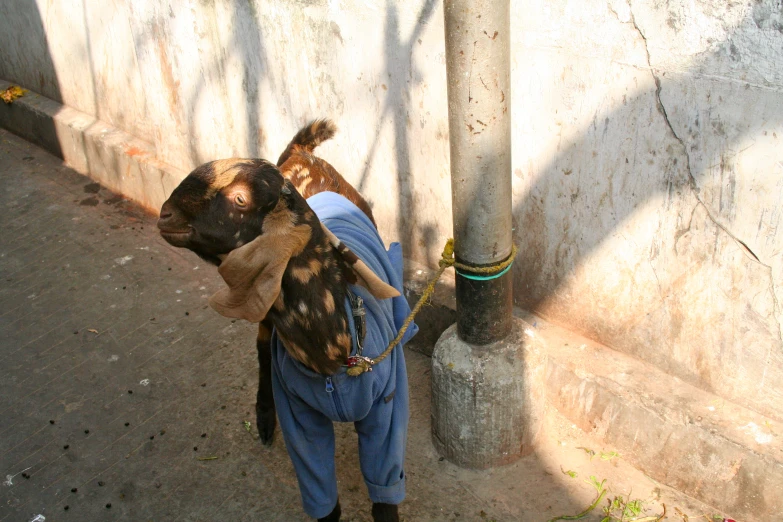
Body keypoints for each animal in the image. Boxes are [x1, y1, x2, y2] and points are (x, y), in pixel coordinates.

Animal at [156, 122, 420, 520]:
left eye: (239, 199)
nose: (165, 214)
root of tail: (300, 152)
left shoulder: (387, 412)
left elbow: (384, 492)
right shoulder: (300, 419)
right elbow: (322, 496)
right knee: (262, 350)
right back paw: (264, 416)